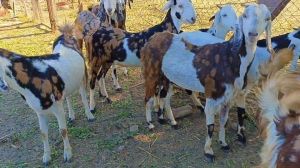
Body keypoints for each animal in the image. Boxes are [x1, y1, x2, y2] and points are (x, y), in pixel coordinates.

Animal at [0, 24, 95, 165]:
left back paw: (89, 115)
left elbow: (62, 130)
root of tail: (66, 33)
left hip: (82, 74)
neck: (31, 77)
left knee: (83, 94)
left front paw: (67, 154)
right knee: (68, 96)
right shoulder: (39, 111)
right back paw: (72, 116)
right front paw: (46, 157)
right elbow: (43, 133)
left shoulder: (57, 107)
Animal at [141, 3, 272, 161]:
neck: (230, 57)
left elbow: (223, 121)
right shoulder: (212, 96)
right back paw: (150, 124)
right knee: (148, 98)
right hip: (151, 74)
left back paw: (172, 122)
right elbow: (210, 126)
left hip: (167, 77)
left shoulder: (228, 98)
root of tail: (153, 38)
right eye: (245, 16)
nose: (252, 34)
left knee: (165, 98)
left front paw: (223, 144)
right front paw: (209, 152)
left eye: (266, 18)